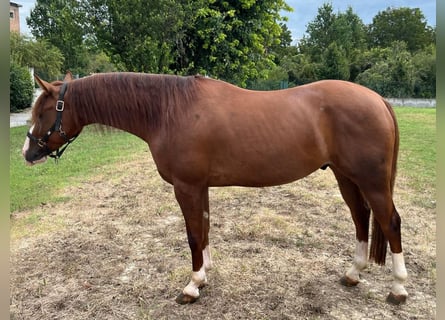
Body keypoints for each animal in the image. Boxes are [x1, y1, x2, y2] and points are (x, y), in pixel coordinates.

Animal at [22, 72, 408, 304]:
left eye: (42, 113)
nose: (27, 153)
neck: (168, 111)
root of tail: (377, 100)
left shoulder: (187, 187)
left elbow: (193, 234)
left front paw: (192, 286)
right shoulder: (200, 187)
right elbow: (205, 229)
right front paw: (205, 274)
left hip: (371, 181)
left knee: (389, 222)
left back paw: (399, 288)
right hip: (346, 177)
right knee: (360, 218)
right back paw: (353, 274)